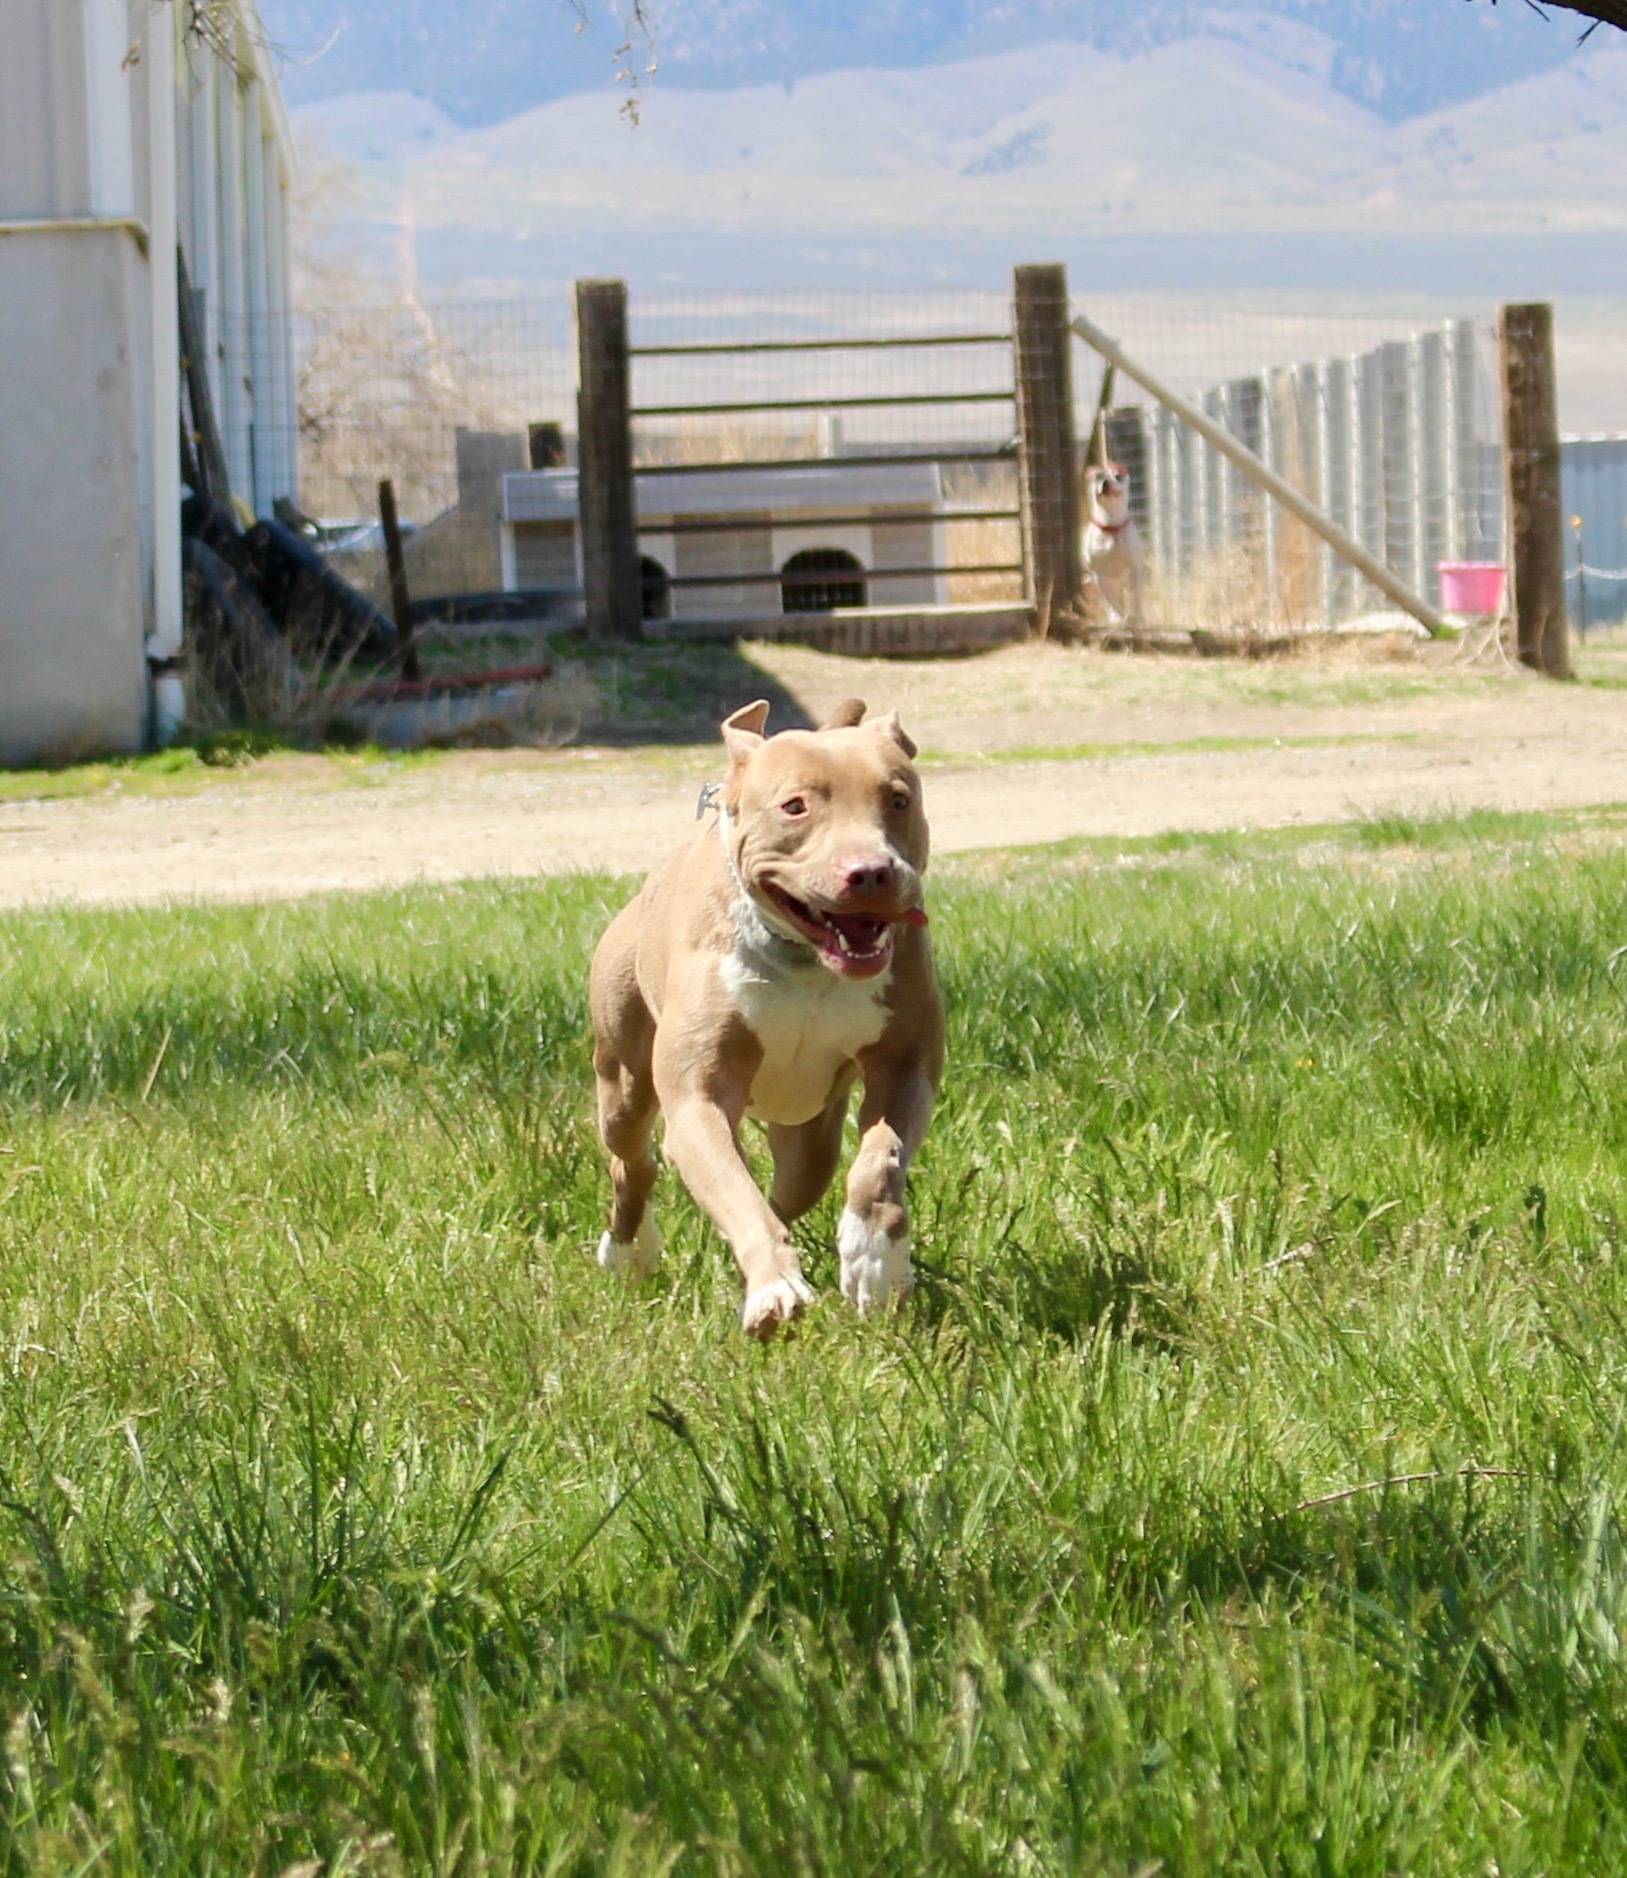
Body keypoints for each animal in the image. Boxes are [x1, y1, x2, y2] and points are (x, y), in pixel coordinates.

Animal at [586, 702, 939, 1337]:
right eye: (795, 806)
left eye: (898, 799)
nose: (871, 871)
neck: (805, 957)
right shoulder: (698, 1100)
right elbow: (736, 1194)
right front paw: (775, 1286)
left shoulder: (907, 1065)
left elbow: (879, 1165)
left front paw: (874, 1262)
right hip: (623, 1081)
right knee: (634, 1162)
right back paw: (628, 1253)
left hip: (809, 1136)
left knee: (791, 1187)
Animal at [1074, 461, 1142, 631]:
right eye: (1098, 476)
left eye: (1117, 476)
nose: (1106, 482)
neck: (1111, 526)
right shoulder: (1100, 576)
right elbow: (1111, 602)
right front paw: (1118, 617)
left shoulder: (1135, 569)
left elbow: (1136, 598)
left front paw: (1139, 618)